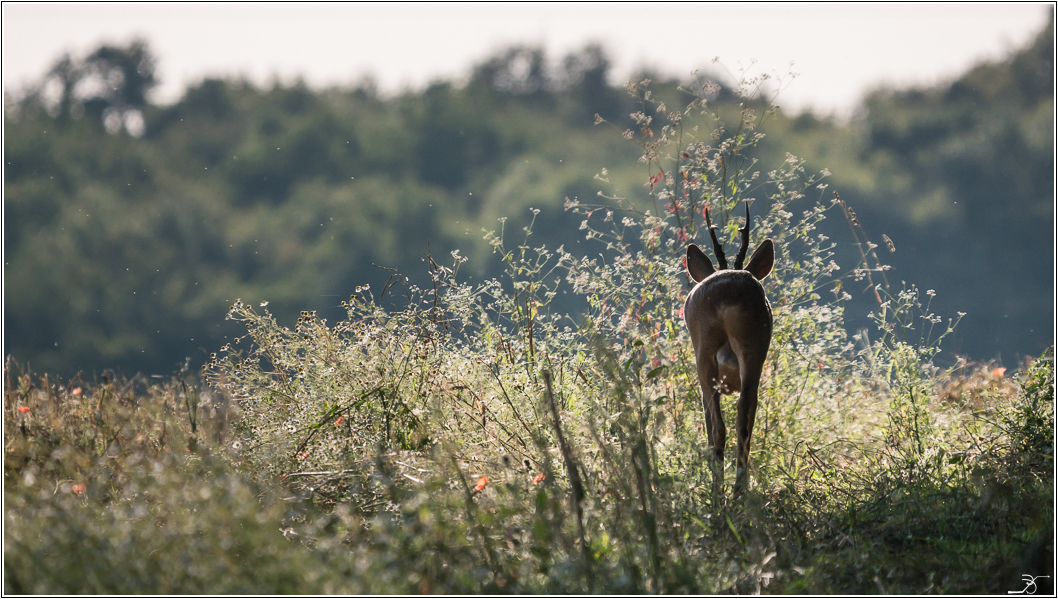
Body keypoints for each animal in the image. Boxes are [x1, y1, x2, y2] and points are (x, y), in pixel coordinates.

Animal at [681, 204, 774, 495]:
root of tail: (728, 289)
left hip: (704, 353)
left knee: (719, 427)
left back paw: (718, 493)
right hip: (754, 349)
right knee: (744, 416)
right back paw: (737, 492)